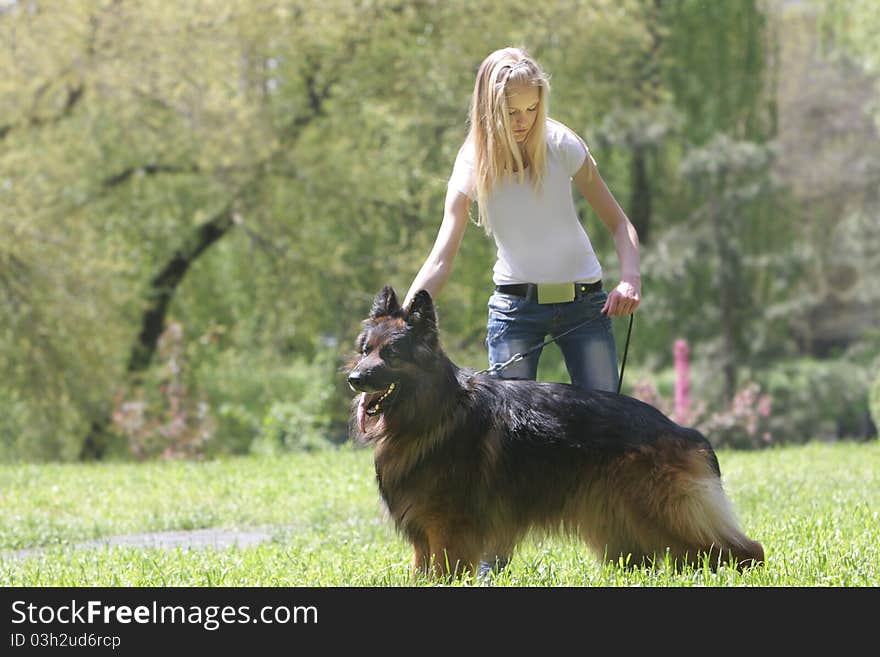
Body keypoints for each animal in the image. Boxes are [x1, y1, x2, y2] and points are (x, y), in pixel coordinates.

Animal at [344, 284, 764, 576]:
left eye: (390, 354)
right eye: (365, 350)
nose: (354, 379)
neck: (435, 412)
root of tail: (683, 429)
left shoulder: (448, 530)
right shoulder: (425, 538)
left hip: (664, 512)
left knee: (745, 550)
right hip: (625, 525)